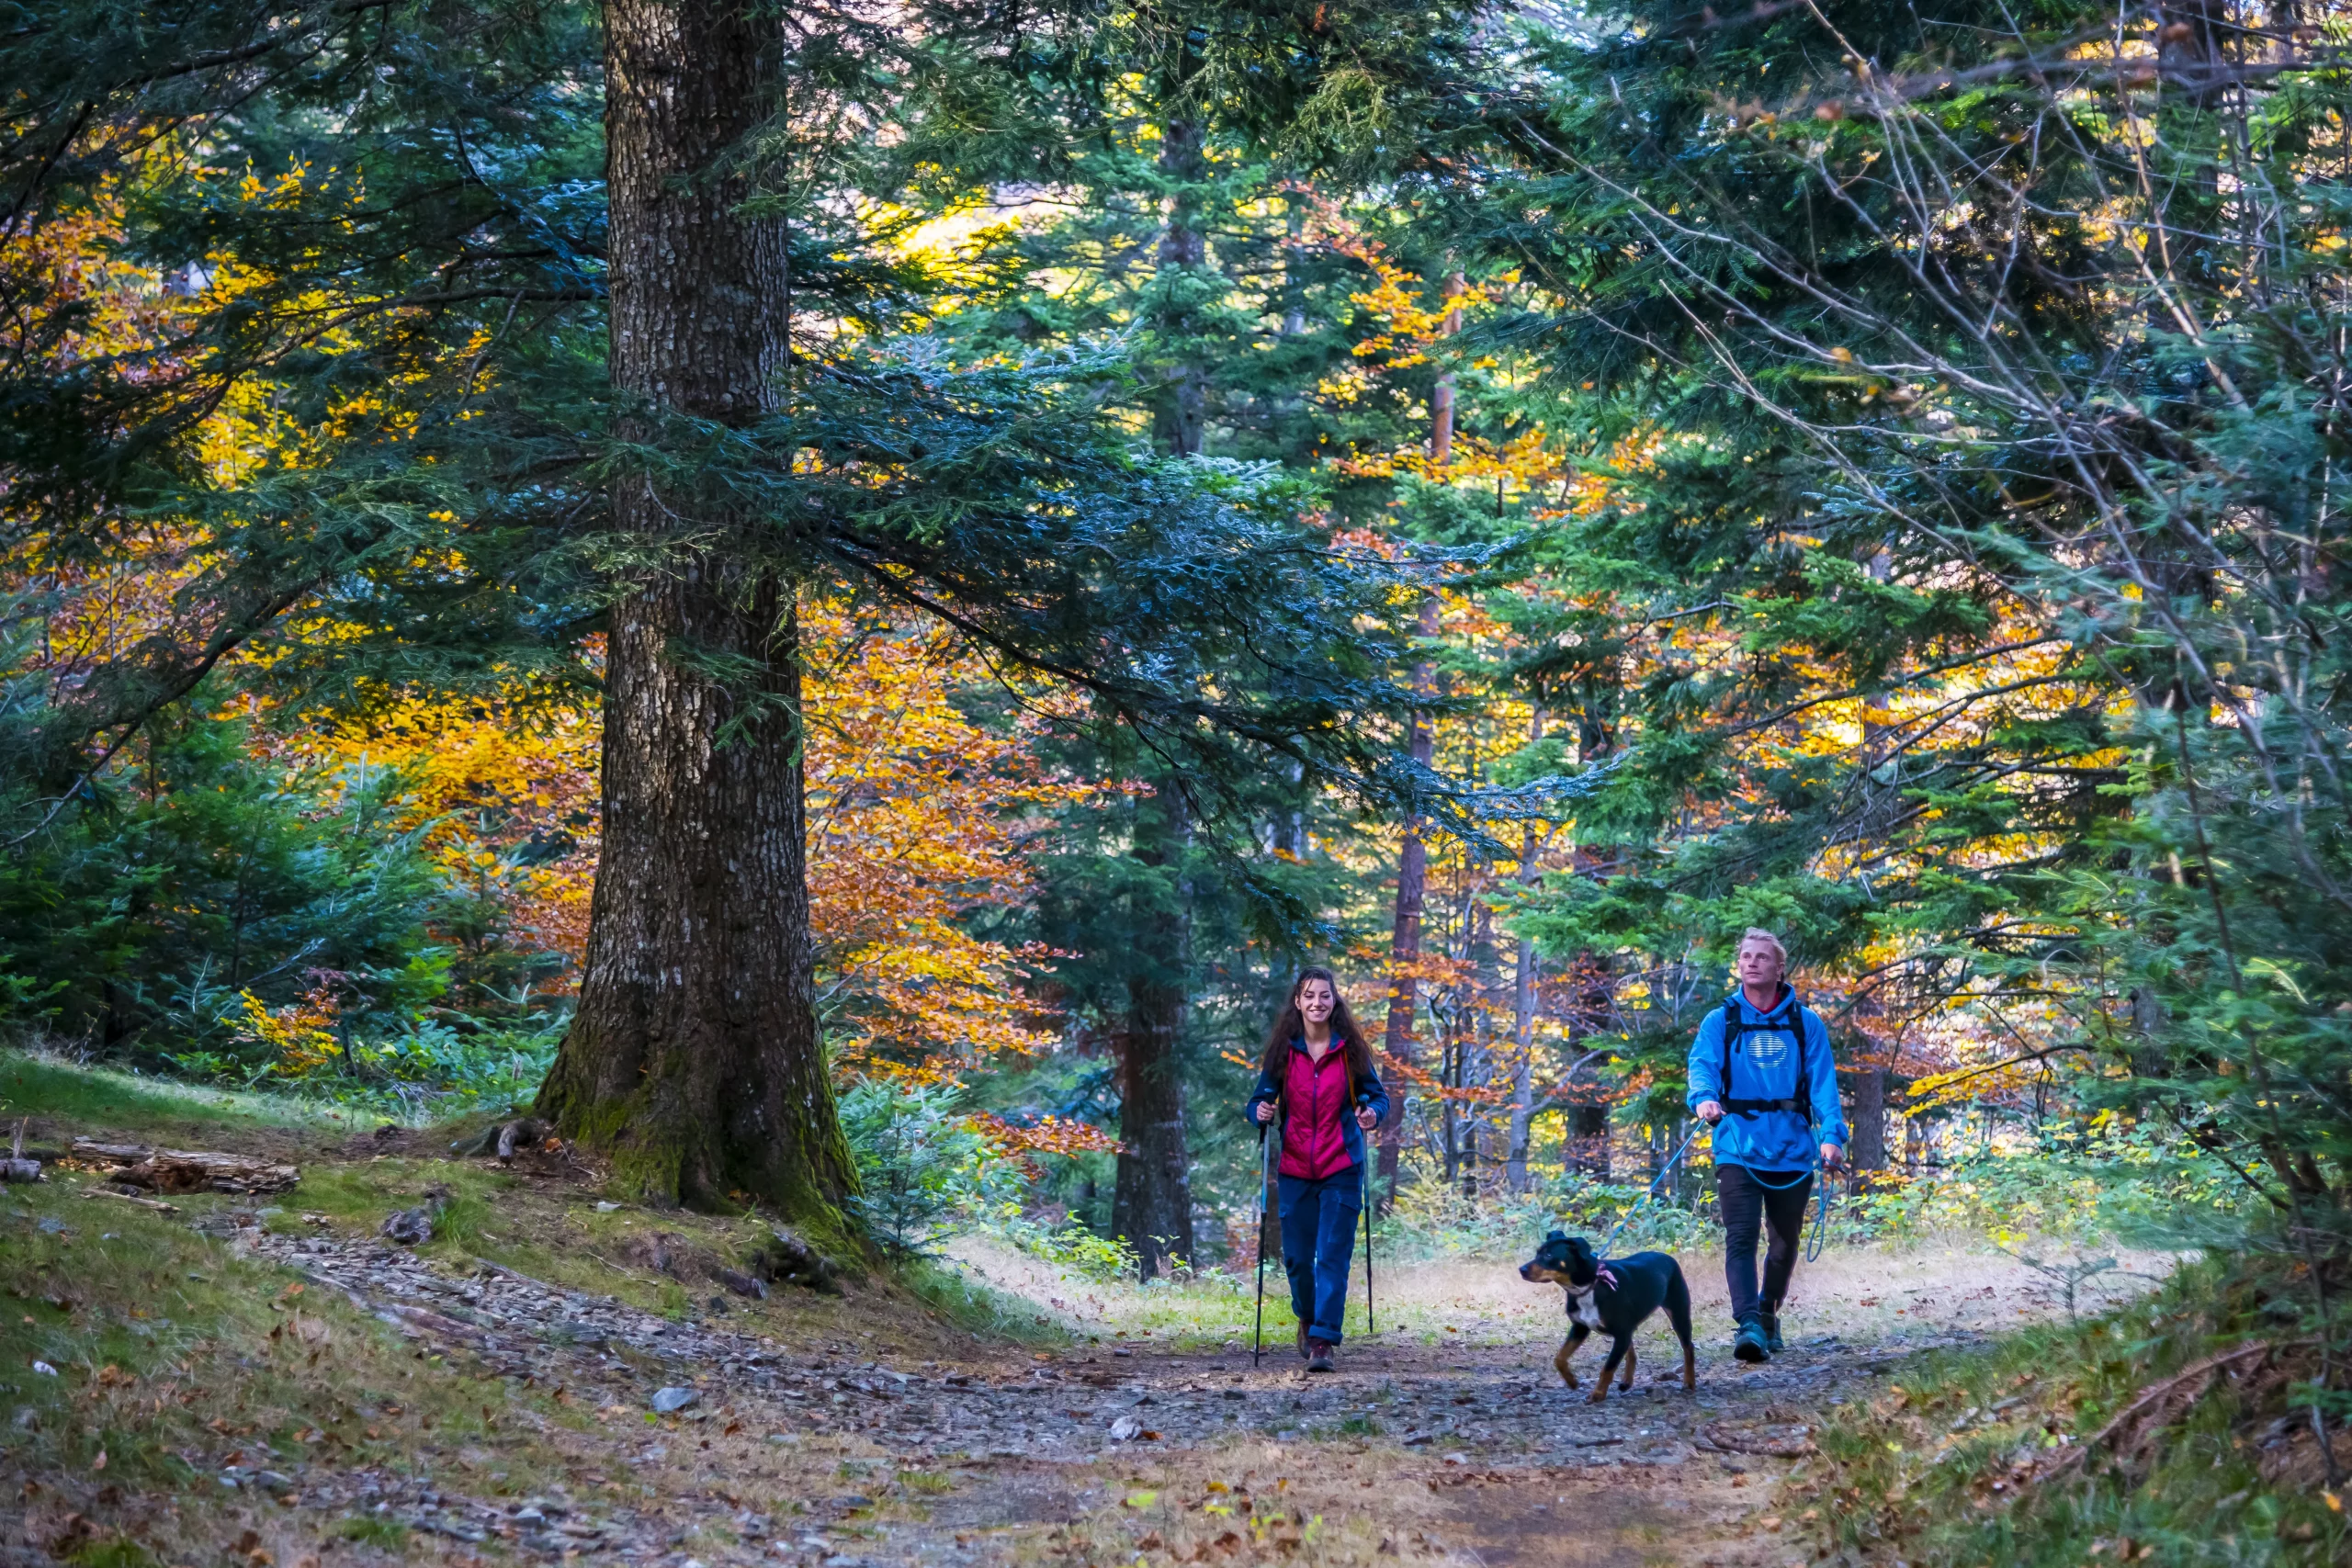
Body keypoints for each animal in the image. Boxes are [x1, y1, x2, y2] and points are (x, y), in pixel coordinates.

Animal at [1523, 1232, 1693, 1401]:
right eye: (1538, 1252)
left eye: (1549, 1254)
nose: (1521, 1269)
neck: (1590, 1286)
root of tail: (1667, 1257)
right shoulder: (1580, 1328)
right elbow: (1560, 1358)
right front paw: (1572, 1381)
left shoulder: (1621, 1333)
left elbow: (1608, 1367)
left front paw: (1598, 1394)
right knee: (1631, 1351)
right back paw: (1626, 1382)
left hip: (1679, 1314)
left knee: (1688, 1347)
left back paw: (1690, 1383)